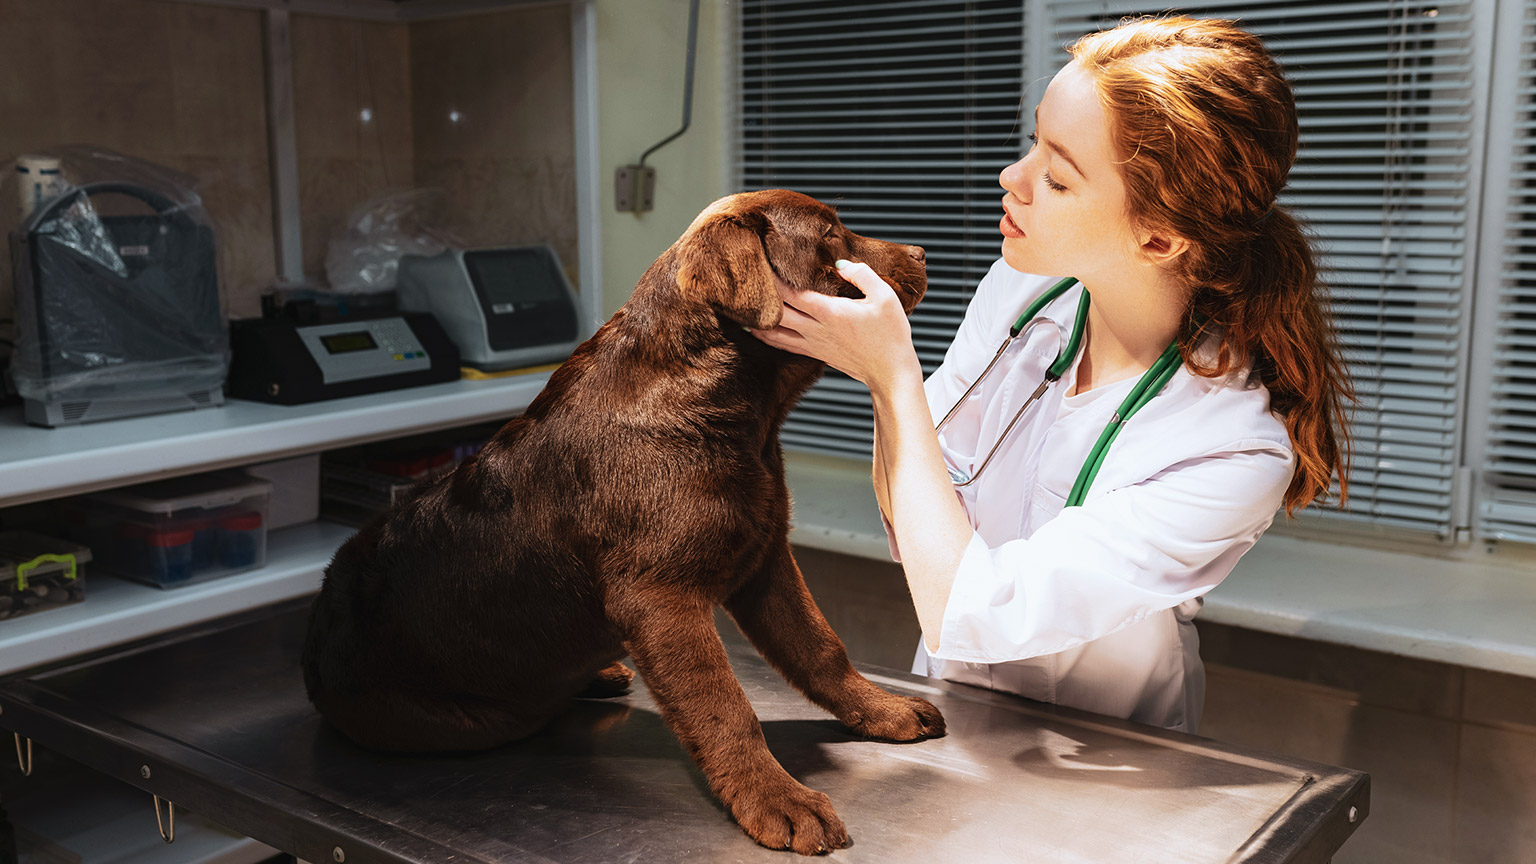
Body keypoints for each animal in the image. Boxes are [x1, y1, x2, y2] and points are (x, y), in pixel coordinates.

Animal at [302, 186, 933, 848]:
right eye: (831, 235)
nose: (922, 252)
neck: (728, 399)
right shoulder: (660, 599)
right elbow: (725, 706)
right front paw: (777, 799)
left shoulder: (764, 556)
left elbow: (821, 647)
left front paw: (884, 711)